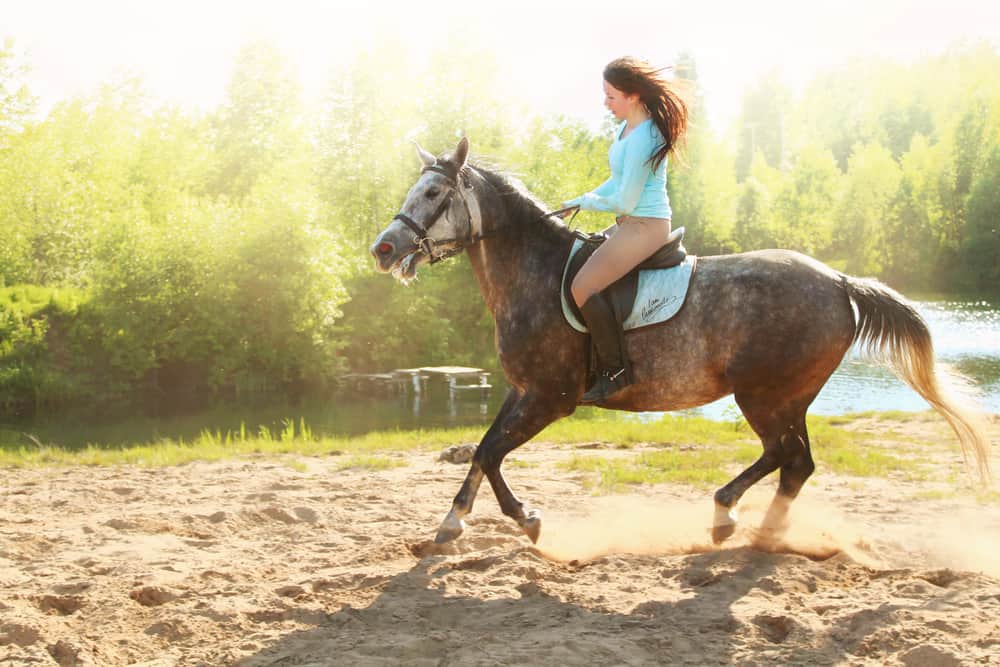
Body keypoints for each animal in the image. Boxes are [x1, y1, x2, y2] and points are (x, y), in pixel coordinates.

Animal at [370, 137, 992, 548]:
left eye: (433, 192)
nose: (382, 249)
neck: (535, 273)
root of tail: (839, 282)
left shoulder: (550, 397)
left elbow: (494, 451)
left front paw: (525, 518)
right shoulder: (522, 390)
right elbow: (482, 449)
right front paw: (452, 522)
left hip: (762, 395)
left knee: (782, 455)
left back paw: (725, 516)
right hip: (790, 398)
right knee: (797, 463)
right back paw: (765, 531)